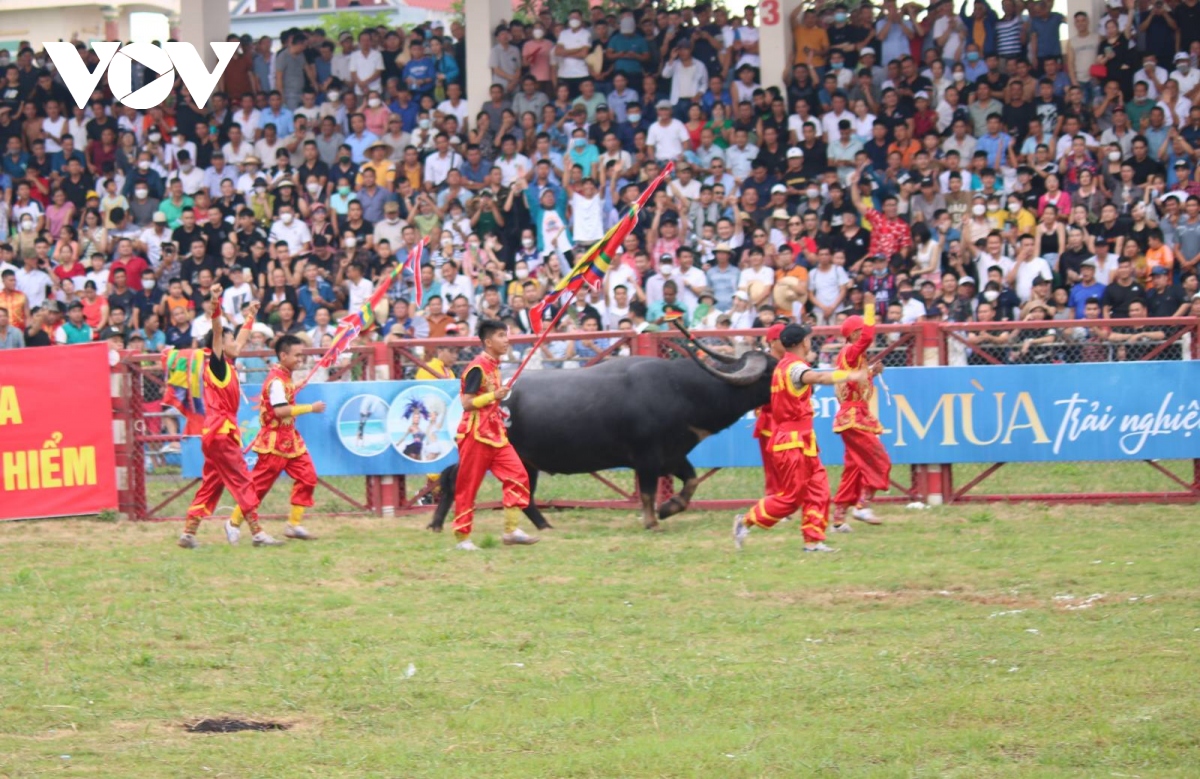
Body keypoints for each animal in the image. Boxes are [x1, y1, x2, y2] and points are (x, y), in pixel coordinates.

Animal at [427, 345, 772, 530]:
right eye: (771, 370)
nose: (793, 372)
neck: (683, 391)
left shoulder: (673, 456)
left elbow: (691, 482)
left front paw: (668, 508)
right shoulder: (647, 459)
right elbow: (648, 492)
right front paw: (652, 520)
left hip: (526, 462)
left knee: (522, 494)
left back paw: (544, 525)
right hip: (487, 451)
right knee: (452, 477)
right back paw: (436, 523)